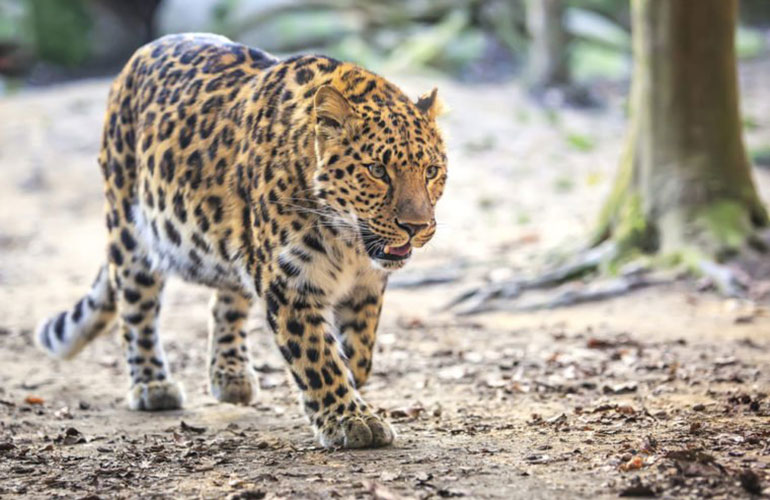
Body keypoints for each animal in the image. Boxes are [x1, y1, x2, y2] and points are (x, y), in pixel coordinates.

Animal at [35, 33, 447, 449]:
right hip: (130, 229)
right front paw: (349, 418)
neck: (346, 242)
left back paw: (230, 374)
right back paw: (152, 384)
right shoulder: (290, 283)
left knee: (226, 301)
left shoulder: (367, 283)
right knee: (137, 309)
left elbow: (359, 350)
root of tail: (139, 55)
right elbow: (318, 356)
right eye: (377, 170)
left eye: (431, 171)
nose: (416, 226)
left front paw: (352, 386)